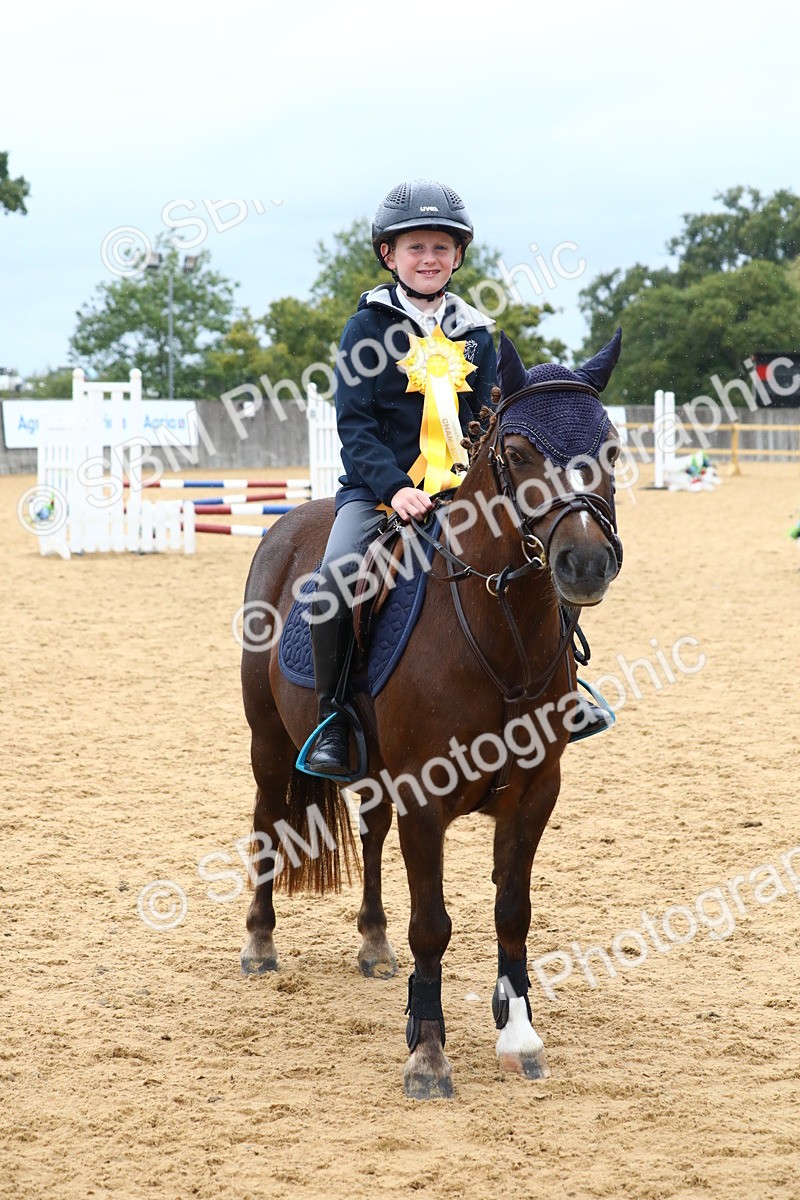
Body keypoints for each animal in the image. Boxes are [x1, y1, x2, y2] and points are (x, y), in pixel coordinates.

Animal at [239, 328, 624, 1099]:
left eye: (613, 447)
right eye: (517, 452)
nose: (585, 564)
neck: (500, 635)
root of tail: (290, 524)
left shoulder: (535, 793)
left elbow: (512, 911)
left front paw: (519, 1035)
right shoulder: (425, 795)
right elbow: (434, 925)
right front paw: (428, 1053)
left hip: (368, 770)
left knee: (370, 832)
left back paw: (372, 942)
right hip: (267, 741)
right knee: (268, 820)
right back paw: (260, 942)